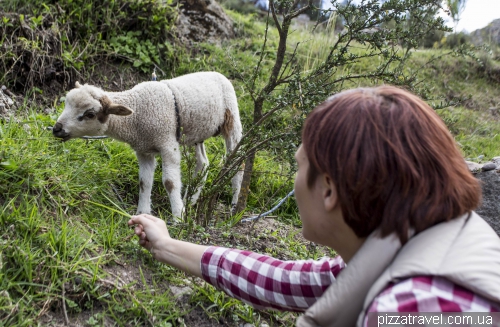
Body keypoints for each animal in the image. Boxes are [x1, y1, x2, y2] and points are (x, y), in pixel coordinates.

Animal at [51, 72, 243, 220]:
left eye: (90, 114)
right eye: (66, 103)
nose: (57, 129)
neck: (136, 113)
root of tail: (217, 74)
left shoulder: (168, 144)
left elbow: (170, 183)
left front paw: (178, 217)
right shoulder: (143, 150)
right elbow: (144, 182)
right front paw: (142, 212)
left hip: (232, 119)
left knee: (238, 165)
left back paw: (234, 204)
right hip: (197, 133)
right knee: (203, 163)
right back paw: (190, 200)